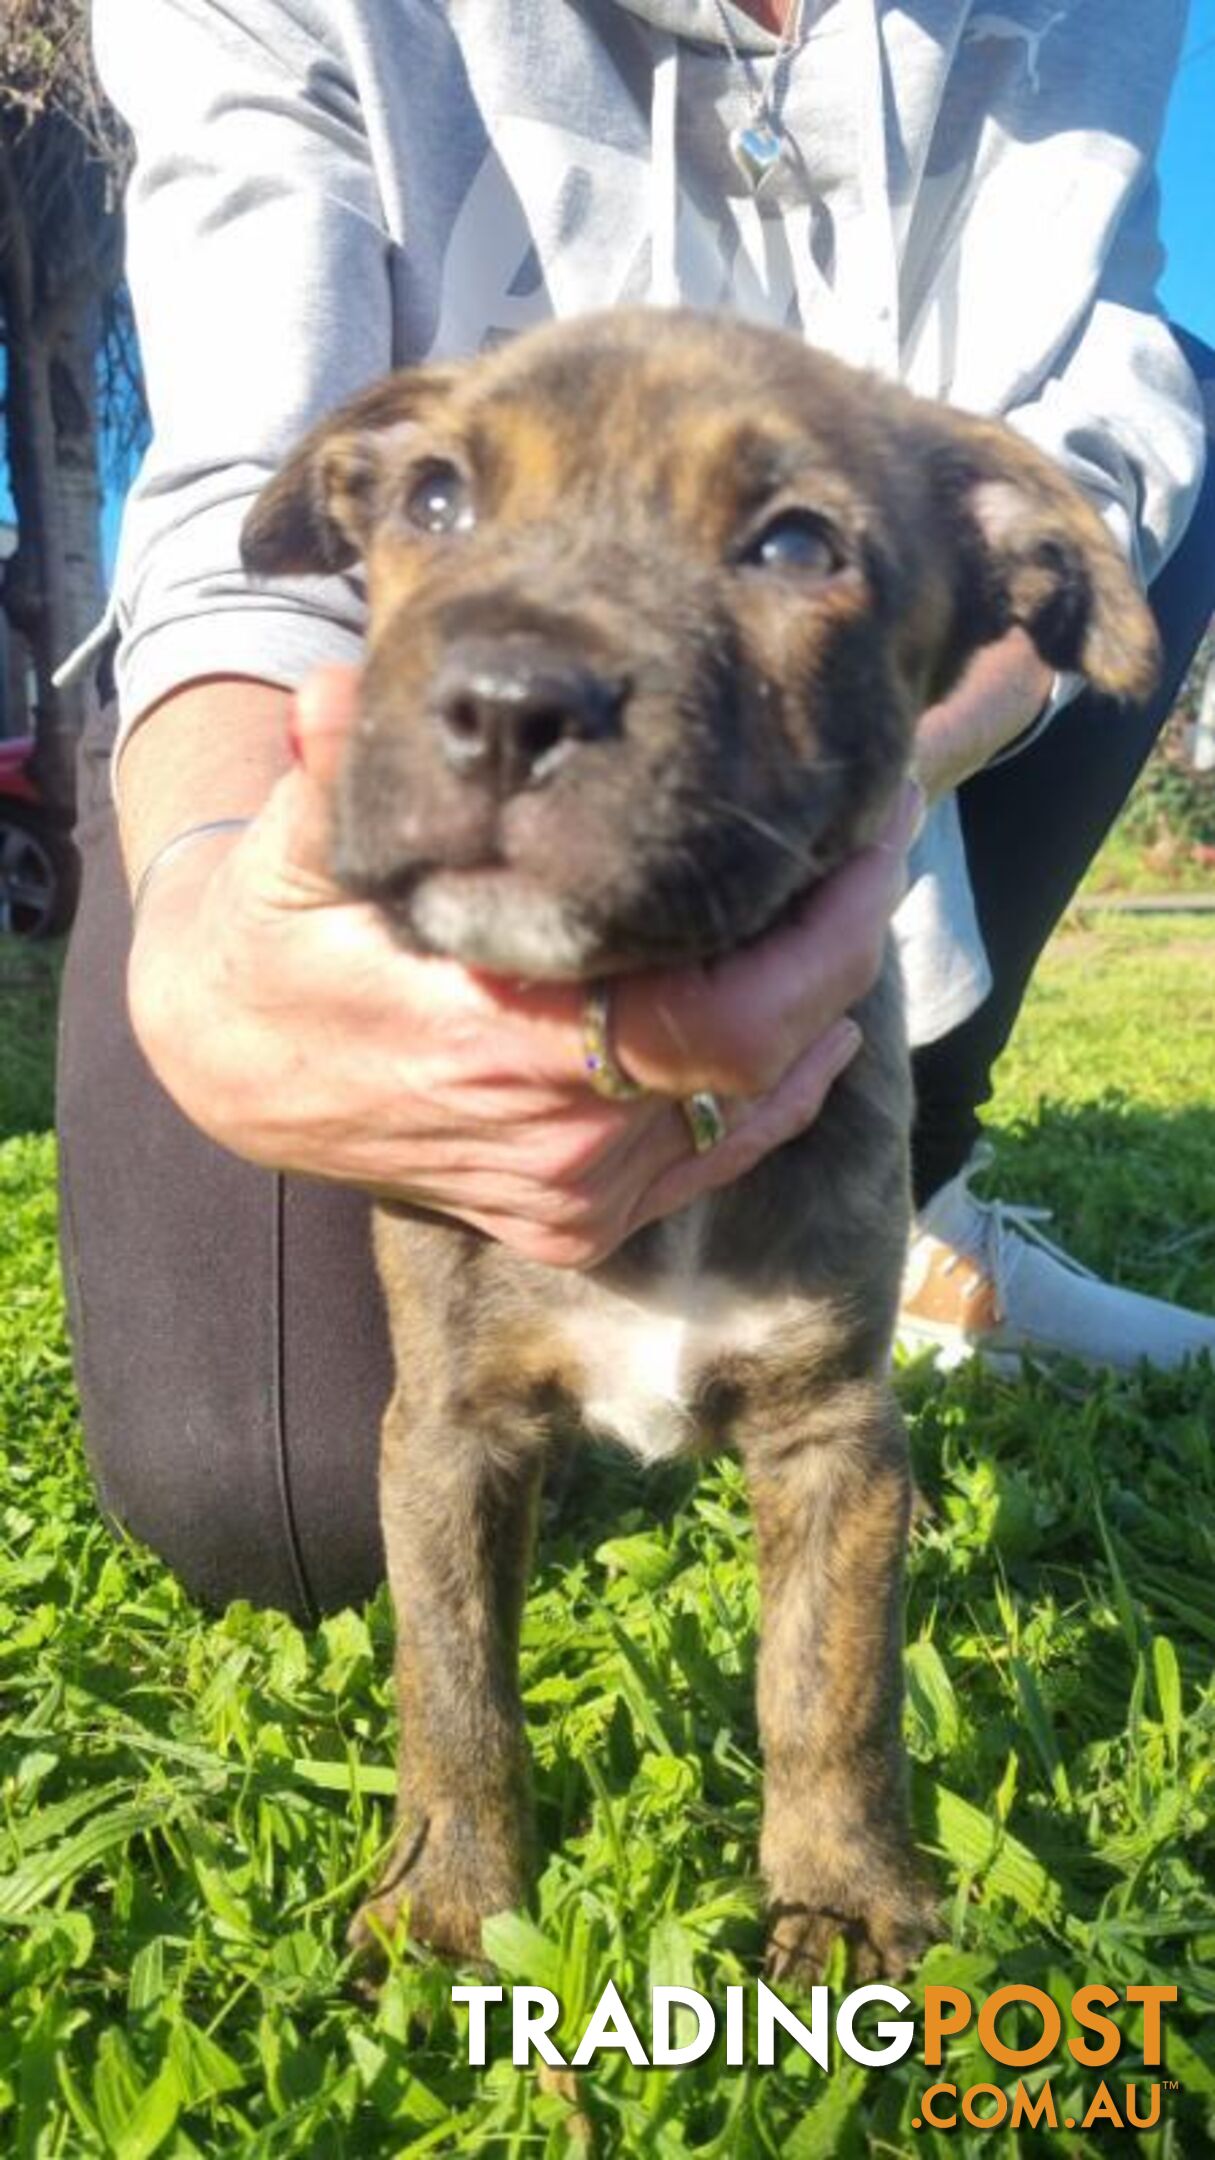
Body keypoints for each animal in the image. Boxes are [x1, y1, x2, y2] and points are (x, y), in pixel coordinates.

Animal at [238, 304, 1150, 1978]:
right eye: (433, 502)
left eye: (794, 546)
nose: (508, 702)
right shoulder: (446, 1429)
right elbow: (450, 1681)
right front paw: (452, 1899)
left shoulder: (829, 1432)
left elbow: (828, 1687)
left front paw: (840, 1902)